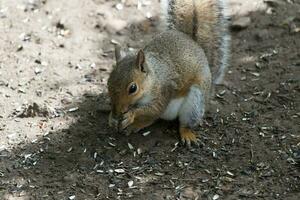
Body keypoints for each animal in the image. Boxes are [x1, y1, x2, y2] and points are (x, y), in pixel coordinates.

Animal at [106, 0, 231, 147]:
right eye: (108, 83)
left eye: (133, 88)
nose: (117, 112)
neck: (153, 78)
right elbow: (150, 113)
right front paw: (112, 118)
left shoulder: (165, 90)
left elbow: (154, 108)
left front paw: (131, 114)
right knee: (151, 119)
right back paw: (135, 125)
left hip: (196, 101)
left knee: (184, 121)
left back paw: (186, 133)